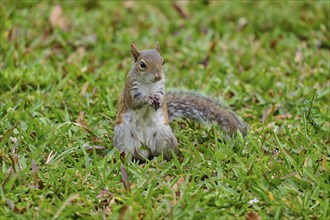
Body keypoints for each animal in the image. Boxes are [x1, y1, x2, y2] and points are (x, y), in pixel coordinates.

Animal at [114, 42, 246, 161]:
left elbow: (162, 100)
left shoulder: (161, 88)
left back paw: (160, 161)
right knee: (128, 154)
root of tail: (146, 148)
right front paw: (148, 98)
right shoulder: (129, 90)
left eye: (163, 61)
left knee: (163, 154)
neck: (149, 85)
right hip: (123, 136)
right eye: (142, 64)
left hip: (165, 136)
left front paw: (159, 100)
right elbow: (133, 103)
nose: (158, 76)